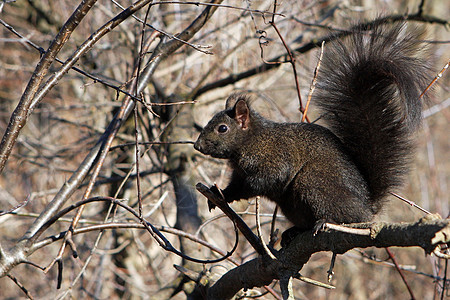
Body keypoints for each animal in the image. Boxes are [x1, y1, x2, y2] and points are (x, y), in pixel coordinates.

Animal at [192, 23, 428, 233]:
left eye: (223, 128)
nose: (197, 146)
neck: (252, 140)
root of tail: (367, 208)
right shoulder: (239, 173)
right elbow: (234, 186)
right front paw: (220, 194)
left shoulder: (275, 158)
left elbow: (266, 180)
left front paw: (236, 191)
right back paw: (292, 232)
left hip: (312, 184)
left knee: (342, 216)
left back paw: (325, 222)